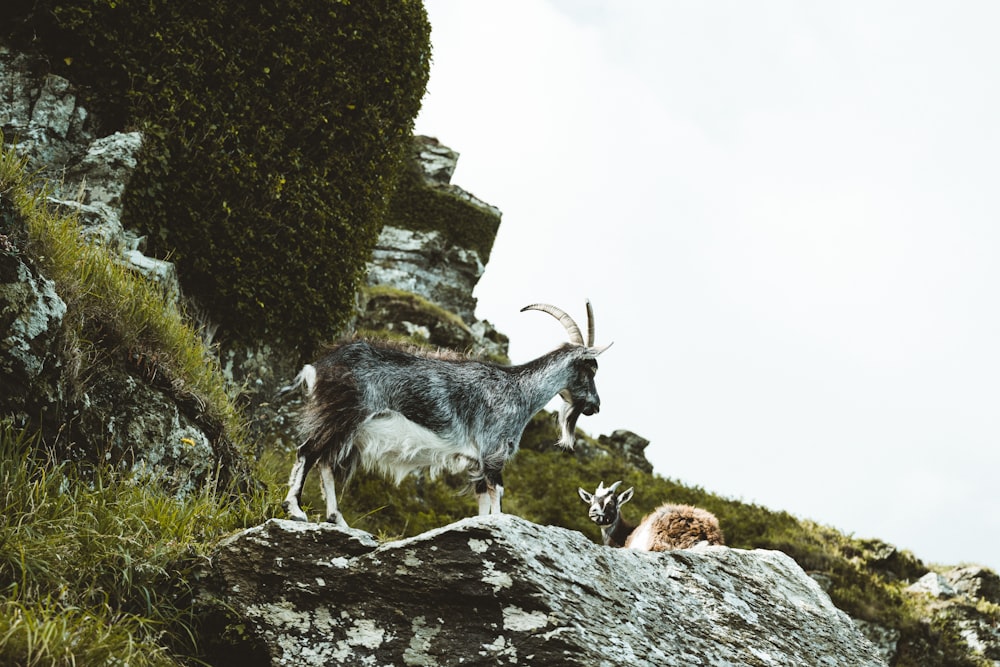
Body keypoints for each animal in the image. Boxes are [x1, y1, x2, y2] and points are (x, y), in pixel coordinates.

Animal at [282, 302, 608, 528]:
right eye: (590, 367)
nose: (595, 406)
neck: (517, 389)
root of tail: (320, 365)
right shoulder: (493, 452)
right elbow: (497, 494)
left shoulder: (478, 461)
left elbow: (482, 499)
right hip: (340, 415)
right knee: (307, 452)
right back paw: (296, 510)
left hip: (346, 429)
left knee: (325, 462)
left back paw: (337, 518)